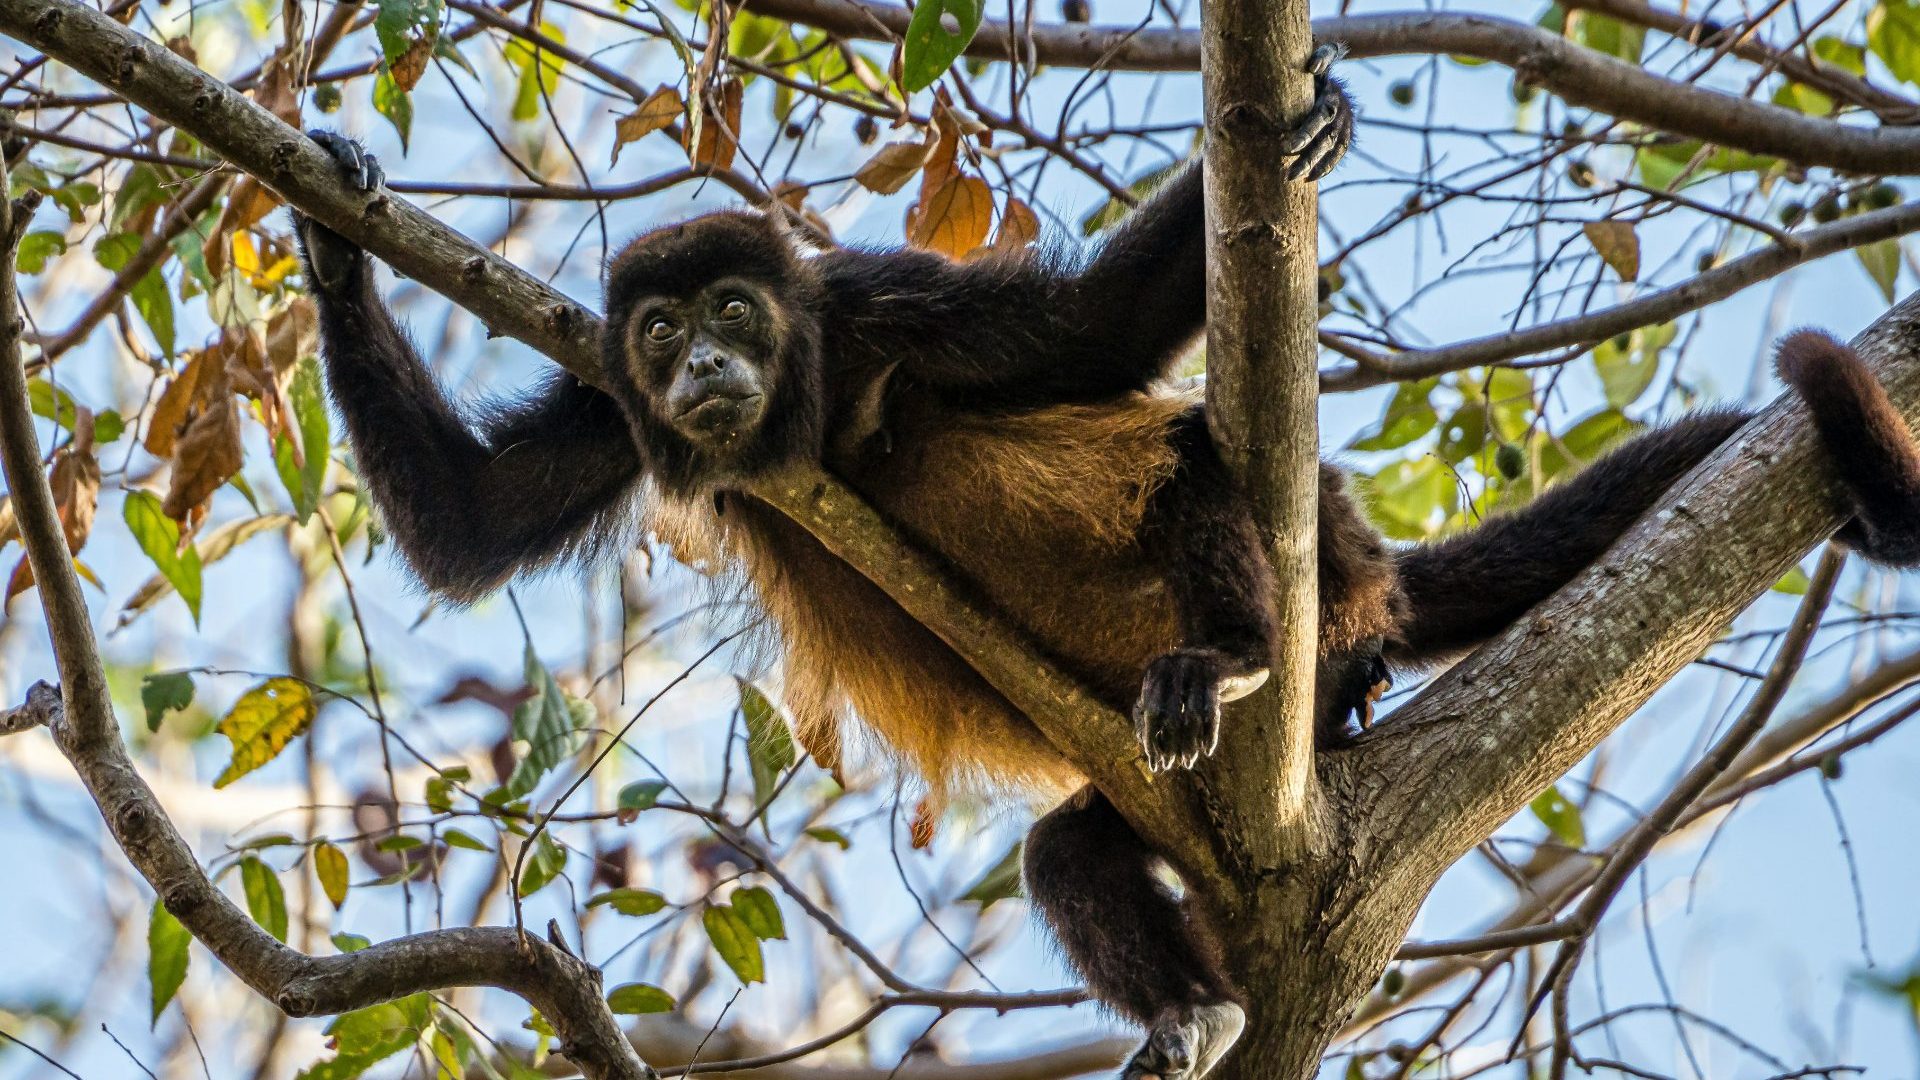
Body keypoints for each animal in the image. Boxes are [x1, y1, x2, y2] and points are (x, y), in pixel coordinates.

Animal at [291, 56, 1920, 1076]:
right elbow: (472, 522)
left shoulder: (881, 306)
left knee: (1200, 459)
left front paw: (1309, 126)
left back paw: (1242, 656)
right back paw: (1191, 1014)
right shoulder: (611, 413)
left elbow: (1093, 339)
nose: (698, 364)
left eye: (739, 312)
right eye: (656, 330)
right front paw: (325, 231)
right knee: (1069, 854)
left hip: (1323, 596)